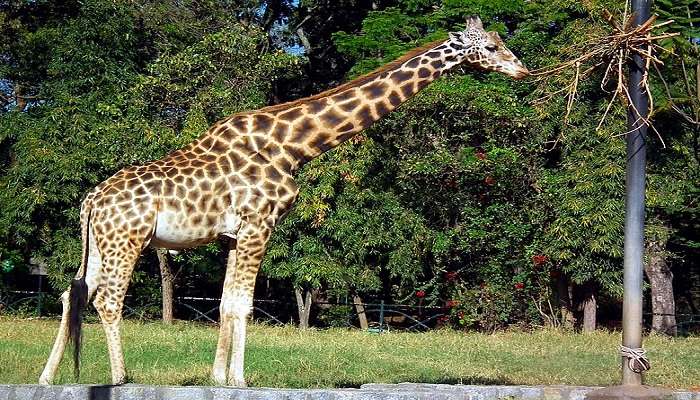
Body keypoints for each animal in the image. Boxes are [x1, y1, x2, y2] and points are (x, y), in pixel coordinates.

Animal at [39, 16, 524, 388]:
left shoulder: (234, 234)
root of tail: (91, 199)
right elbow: (242, 304)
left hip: (100, 243)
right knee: (107, 300)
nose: (521, 70)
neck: (294, 146)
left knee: (72, 293)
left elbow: (225, 303)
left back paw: (48, 377)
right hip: (129, 239)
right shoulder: (260, 223)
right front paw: (239, 379)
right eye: (492, 46)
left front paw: (218, 378)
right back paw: (120, 377)